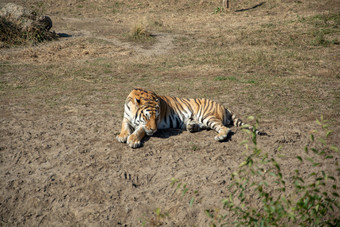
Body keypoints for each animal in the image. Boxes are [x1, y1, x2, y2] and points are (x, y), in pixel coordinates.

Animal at [117, 88, 266, 148]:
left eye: (157, 117)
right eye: (147, 117)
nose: (154, 130)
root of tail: (223, 105)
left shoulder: (146, 125)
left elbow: (139, 130)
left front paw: (132, 140)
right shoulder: (126, 118)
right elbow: (124, 126)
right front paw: (122, 136)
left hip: (208, 116)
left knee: (225, 128)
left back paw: (220, 136)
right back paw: (192, 127)